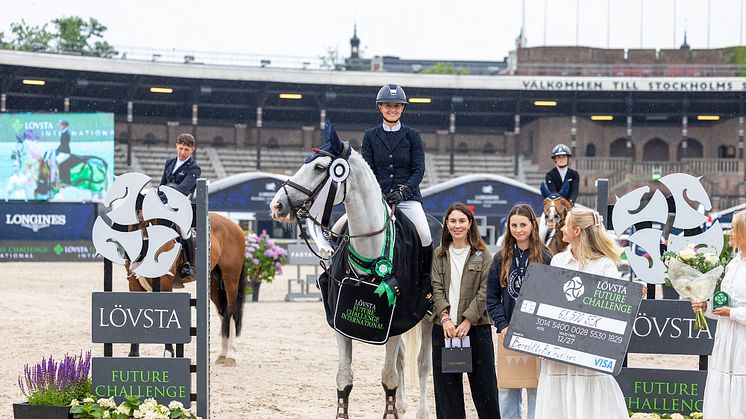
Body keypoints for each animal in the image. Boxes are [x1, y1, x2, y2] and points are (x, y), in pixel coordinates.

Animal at [126, 213, 246, 368]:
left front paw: (169, 353)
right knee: (223, 312)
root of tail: (235, 225)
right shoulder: (135, 285)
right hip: (214, 282)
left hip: (230, 277)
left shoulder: (165, 284)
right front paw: (133, 354)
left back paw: (231, 355)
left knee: (231, 312)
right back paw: (223, 354)